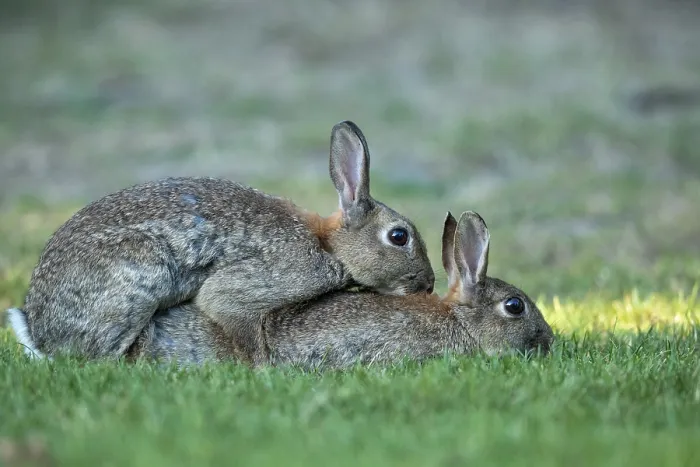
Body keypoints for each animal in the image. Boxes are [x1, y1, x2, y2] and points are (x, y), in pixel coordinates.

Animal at [7, 120, 435, 365]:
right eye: (399, 236)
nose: (428, 284)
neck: (329, 246)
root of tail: (39, 329)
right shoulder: (266, 281)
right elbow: (229, 310)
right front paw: (264, 370)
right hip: (137, 276)